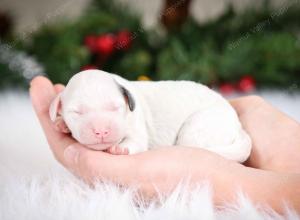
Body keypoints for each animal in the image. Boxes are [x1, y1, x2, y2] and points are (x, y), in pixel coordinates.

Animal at [49, 70, 251, 162]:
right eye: (77, 112)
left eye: (115, 108)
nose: (101, 131)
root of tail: (238, 126)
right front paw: (61, 124)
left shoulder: (137, 126)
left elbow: (135, 141)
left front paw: (121, 148)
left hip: (199, 127)